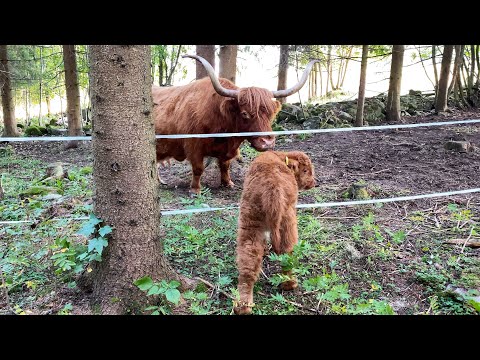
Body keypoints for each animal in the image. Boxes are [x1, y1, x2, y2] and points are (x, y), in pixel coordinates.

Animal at [232, 150, 316, 314]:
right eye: (305, 170)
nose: (313, 183)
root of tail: (272, 187)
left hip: (251, 224)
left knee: (248, 263)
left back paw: (243, 306)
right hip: (287, 221)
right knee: (288, 251)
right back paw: (290, 284)